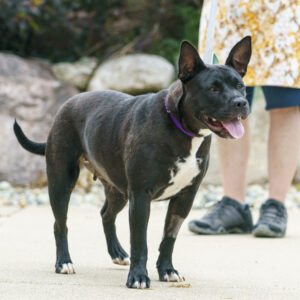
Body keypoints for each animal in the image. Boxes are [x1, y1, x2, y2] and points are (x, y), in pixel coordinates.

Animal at [13, 37, 251, 288]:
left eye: (240, 86)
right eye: (213, 89)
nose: (241, 103)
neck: (180, 126)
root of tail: (70, 101)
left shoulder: (183, 198)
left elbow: (169, 238)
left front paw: (167, 270)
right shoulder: (140, 196)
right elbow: (140, 242)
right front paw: (138, 276)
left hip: (118, 190)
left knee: (106, 214)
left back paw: (117, 253)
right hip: (61, 183)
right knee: (60, 224)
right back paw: (64, 262)